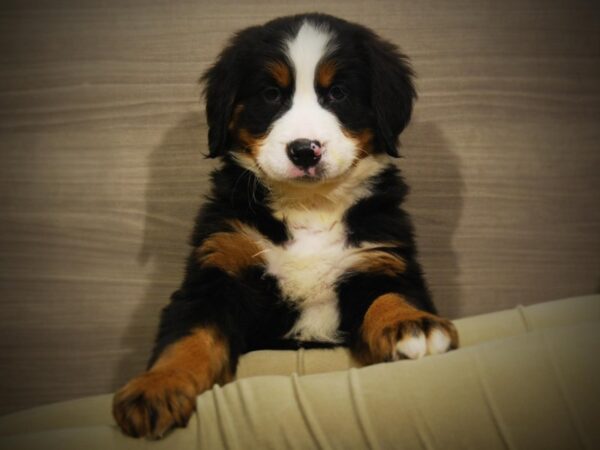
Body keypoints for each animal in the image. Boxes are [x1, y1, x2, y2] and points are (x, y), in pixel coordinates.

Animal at [113, 13, 460, 440]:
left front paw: (412, 325)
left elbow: (391, 296)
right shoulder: (219, 269)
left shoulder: (379, 257)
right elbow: (188, 336)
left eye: (338, 93)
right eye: (271, 94)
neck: (309, 206)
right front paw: (156, 388)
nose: (304, 150)